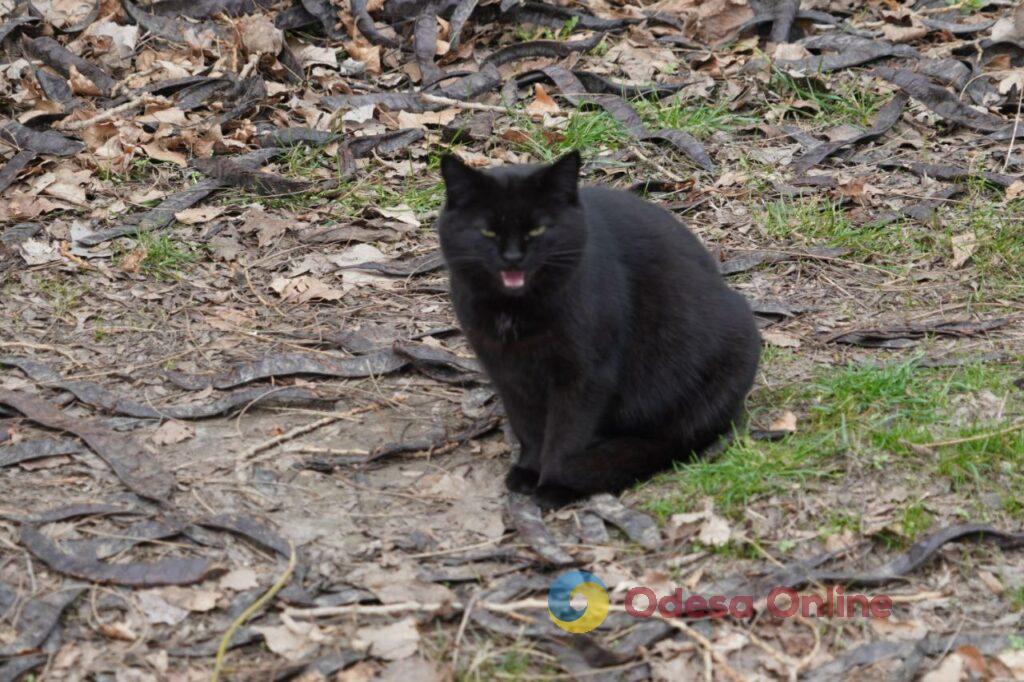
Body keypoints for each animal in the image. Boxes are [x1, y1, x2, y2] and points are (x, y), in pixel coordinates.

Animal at [434, 152, 761, 503]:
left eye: (537, 229)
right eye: (487, 232)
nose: (512, 257)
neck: (515, 312)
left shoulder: (586, 377)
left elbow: (565, 437)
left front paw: (553, 487)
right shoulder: (507, 374)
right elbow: (529, 428)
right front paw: (529, 472)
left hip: (731, 351)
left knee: (678, 438)